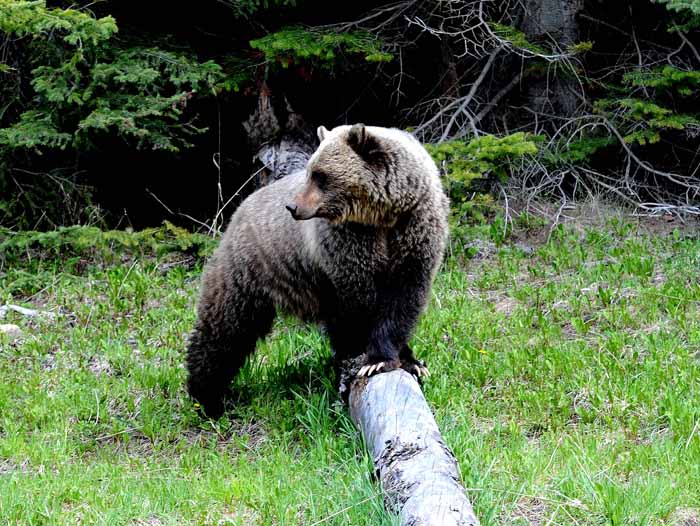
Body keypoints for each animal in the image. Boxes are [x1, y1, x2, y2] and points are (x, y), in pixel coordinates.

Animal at [186, 126, 448, 418]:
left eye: (321, 175)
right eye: (311, 171)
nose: (292, 207)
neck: (383, 217)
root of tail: (239, 210)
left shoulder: (415, 230)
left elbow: (404, 298)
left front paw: (406, 360)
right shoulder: (347, 243)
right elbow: (362, 301)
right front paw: (373, 358)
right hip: (252, 268)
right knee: (226, 326)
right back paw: (206, 397)